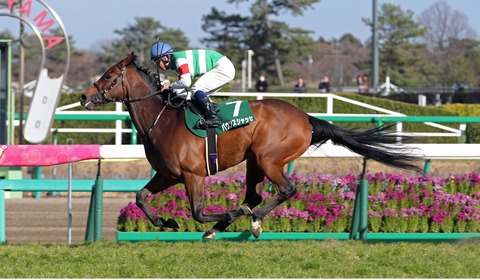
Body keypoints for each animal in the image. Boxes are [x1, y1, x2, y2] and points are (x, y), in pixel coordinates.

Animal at [80, 53, 422, 238]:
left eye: (109, 75)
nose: (84, 96)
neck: (162, 119)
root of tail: (306, 118)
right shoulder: (167, 175)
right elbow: (140, 197)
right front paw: (166, 221)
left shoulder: (192, 175)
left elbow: (198, 212)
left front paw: (226, 216)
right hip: (254, 161)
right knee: (255, 195)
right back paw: (233, 221)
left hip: (269, 158)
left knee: (285, 190)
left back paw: (252, 220)